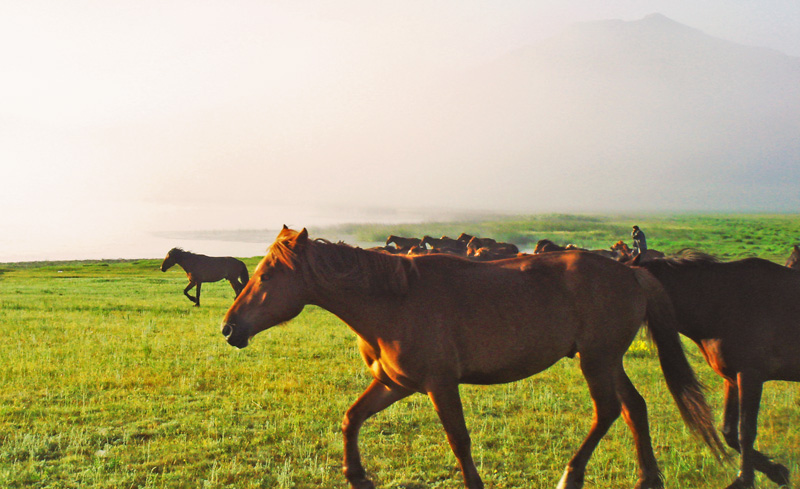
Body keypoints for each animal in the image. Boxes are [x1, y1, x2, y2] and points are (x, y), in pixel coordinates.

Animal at [222, 226, 720, 488]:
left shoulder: (440, 385)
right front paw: (357, 476)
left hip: (596, 360)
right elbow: (351, 418)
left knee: (609, 411)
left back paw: (571, 475)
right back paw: (647, 477)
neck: (394, 300)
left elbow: (458, 440)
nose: (229, 328)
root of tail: (631, 271)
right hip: (607, 359)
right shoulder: (394, 384)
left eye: (267, 275)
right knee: (634, 407)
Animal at [636, 252, 800, 488]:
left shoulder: (750, 376)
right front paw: (776, 471)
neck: (722, 301)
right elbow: (729, 431)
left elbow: (746, 430)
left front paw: (744, 479)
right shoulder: (732, 379)